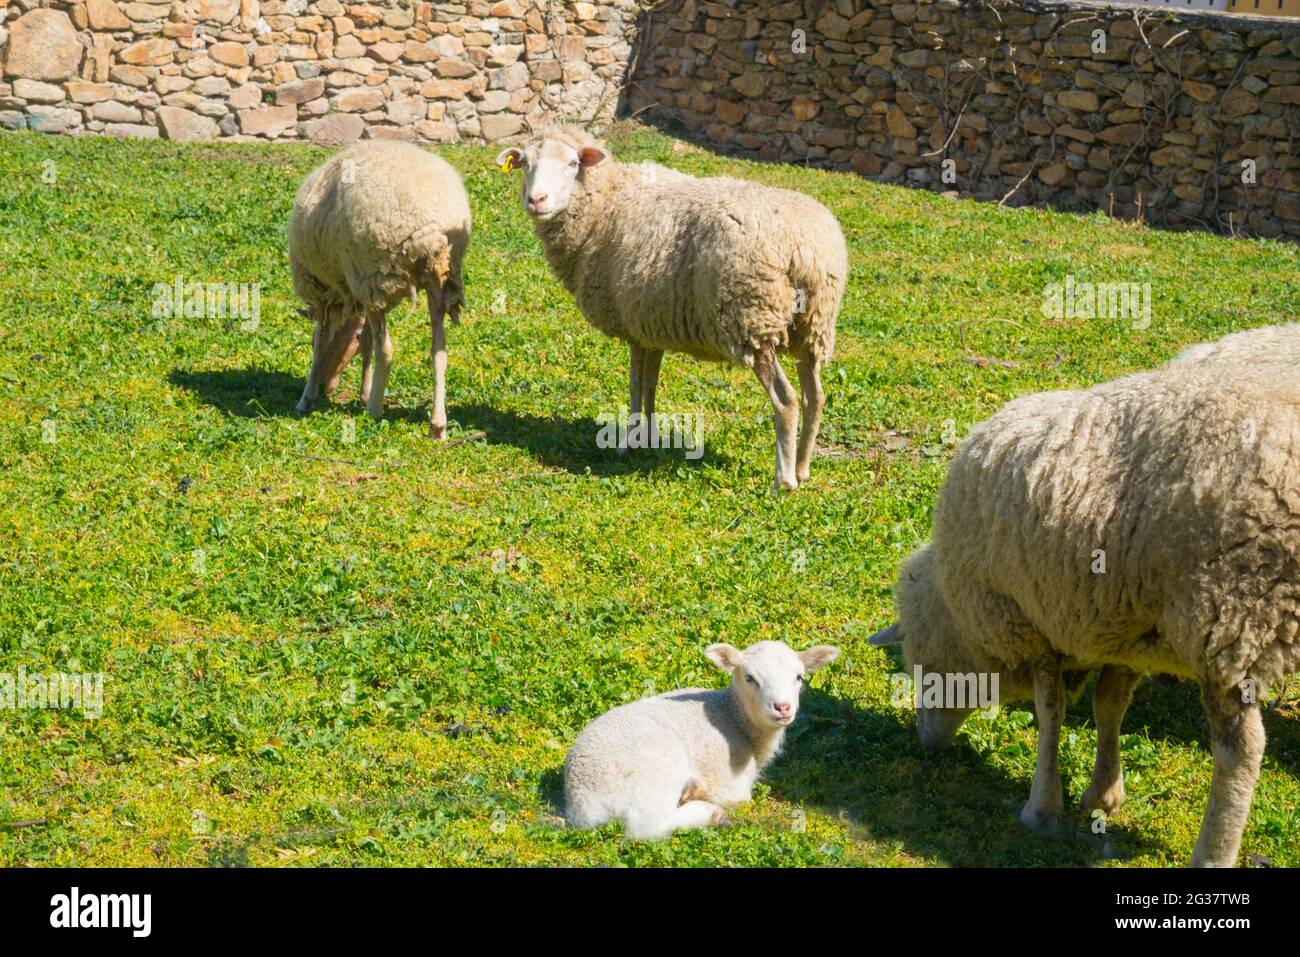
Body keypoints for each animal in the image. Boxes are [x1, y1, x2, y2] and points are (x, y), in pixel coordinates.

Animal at [289, 140, 471, 439]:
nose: (327, 387)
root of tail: (431, 229)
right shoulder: (360, 296)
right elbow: (365, 341)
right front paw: (363, 390)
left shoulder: (330, 293)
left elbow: (324, 340)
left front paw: (307, 397)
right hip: (438, 281)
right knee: (439, 351)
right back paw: (437, 425)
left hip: (373, 276)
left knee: (386, 349)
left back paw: (374, 409)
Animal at [496, 127, 849, 492]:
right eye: (525, 163)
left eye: (573, 163)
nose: (537, 200)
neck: (606, 203)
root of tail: (808, 251)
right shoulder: (651, 325)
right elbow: (651, 383)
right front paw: (649, 437)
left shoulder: (633, 324)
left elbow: (636, 385)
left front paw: (628, 442)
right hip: (813, 327)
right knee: (815, 397)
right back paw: (803, 467)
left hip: (753, 320)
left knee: (787, 400)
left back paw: (784, 480)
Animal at [564, 640, 840, 839]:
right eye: (750, 678)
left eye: (799, 677)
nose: (782, 707)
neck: (733, 716)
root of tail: (582, 800)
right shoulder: (731, 784)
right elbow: (738, 798)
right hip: (655, 770)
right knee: (645, 828)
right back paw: (710, 813)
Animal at [870, 342, 1300, 867]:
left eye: (918, 663)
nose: (924, 741)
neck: (957, 612)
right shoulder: (1127, 628)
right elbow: (1108, 703)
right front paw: (1103, 794)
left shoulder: (1029, 623)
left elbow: (1050, 712)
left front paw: (1041, 807)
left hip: (1233, 614)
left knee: (1242, 751)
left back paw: (1212, 852)